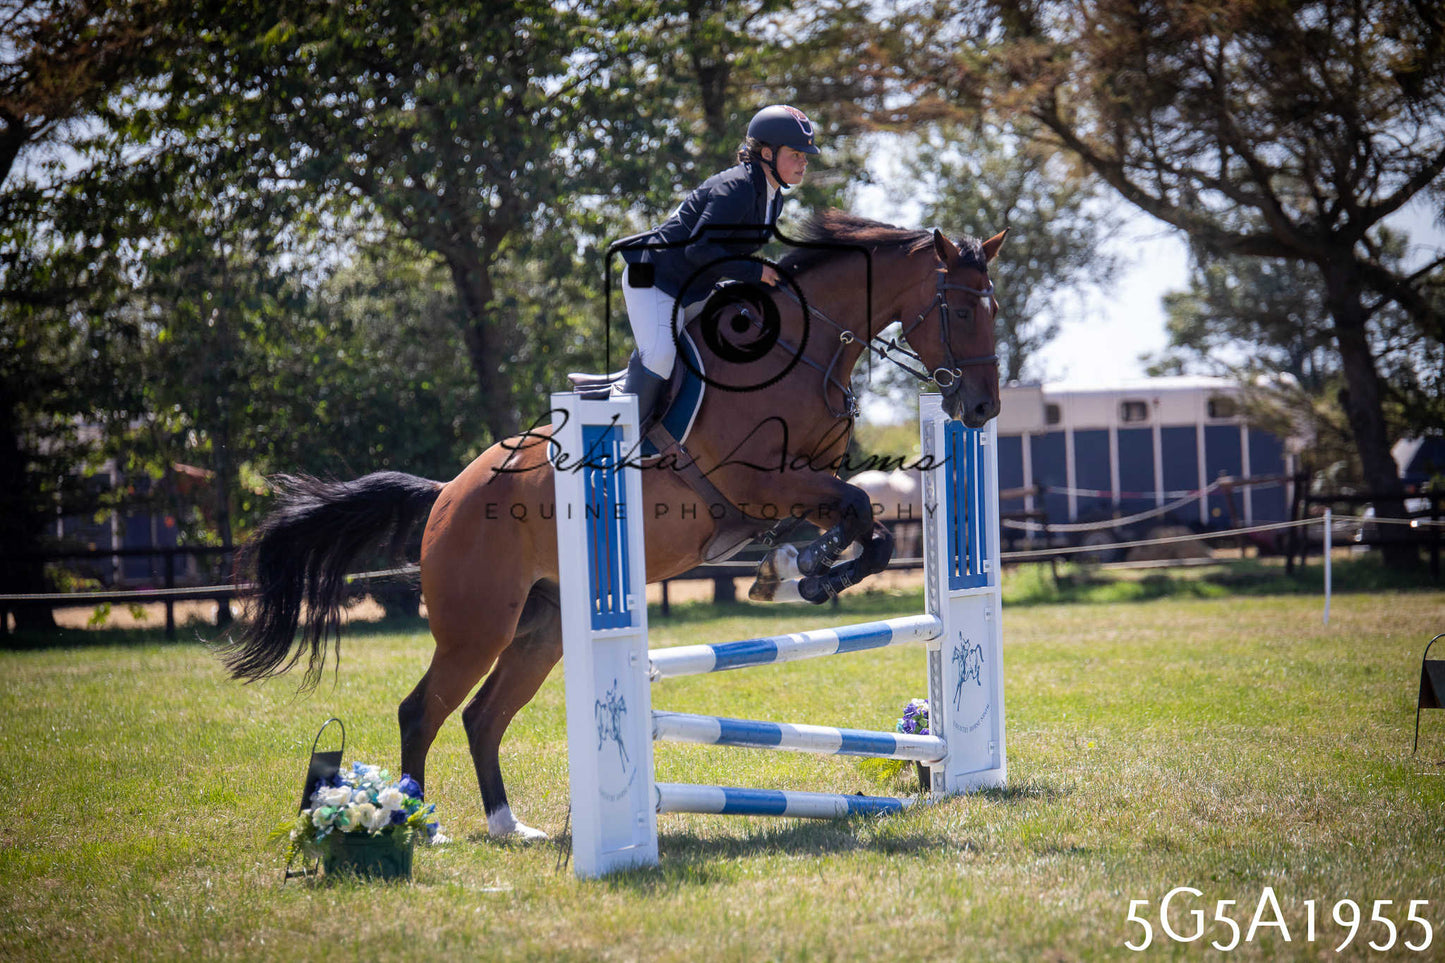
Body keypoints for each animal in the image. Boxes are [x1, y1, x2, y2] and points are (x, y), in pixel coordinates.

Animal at [221, 210, 1006, 840]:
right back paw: (418, 826)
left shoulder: (793, 489)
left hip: (543, 628)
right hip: (478, 626)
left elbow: (867, 526)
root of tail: (446, 496)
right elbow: (861, 511)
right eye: (962, 311)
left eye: (991, 307)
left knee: (483, 716)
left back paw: (509, 826)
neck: (800, 351)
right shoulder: (757, 484)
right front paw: (800, 573)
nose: (981, 410)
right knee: (423, 711)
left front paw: (795, 573)